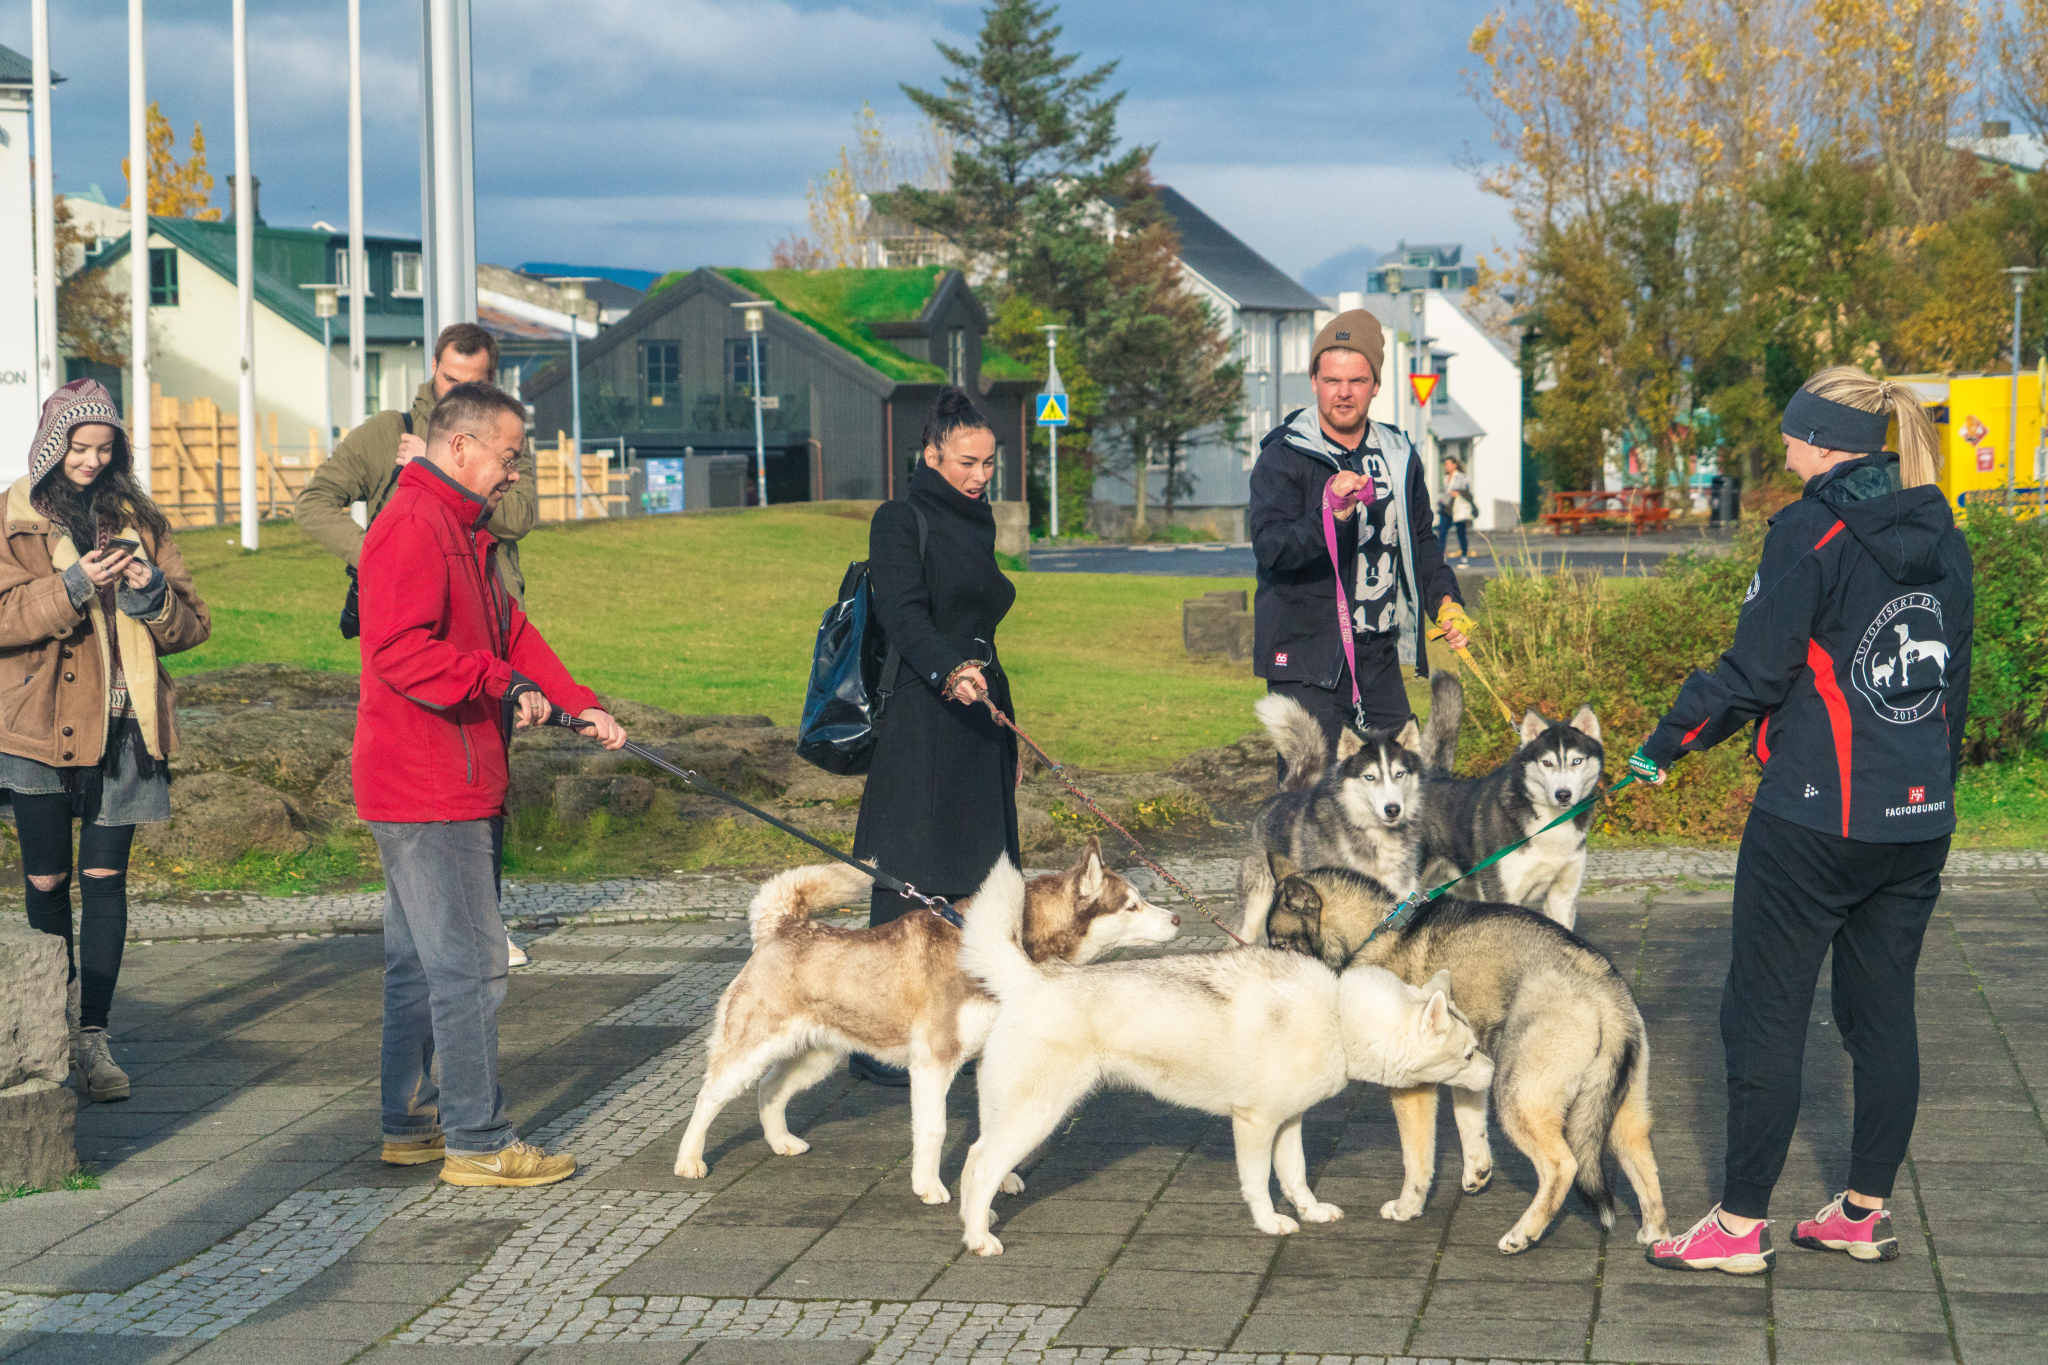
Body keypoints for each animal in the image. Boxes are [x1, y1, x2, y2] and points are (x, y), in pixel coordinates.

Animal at [675, 839, 1171, 1203]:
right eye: (1131, 905)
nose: (1178, 917)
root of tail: (783, 925)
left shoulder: (990, 1056)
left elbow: (995, 1122)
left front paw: (1000, 1177)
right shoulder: (934, 1059)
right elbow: (934, 1129)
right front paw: (929, 1187)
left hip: (818, 1056)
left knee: (770, 1089)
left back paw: (781, 1141)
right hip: (750, 1049)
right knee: (709, 1097)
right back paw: (688, 1161)